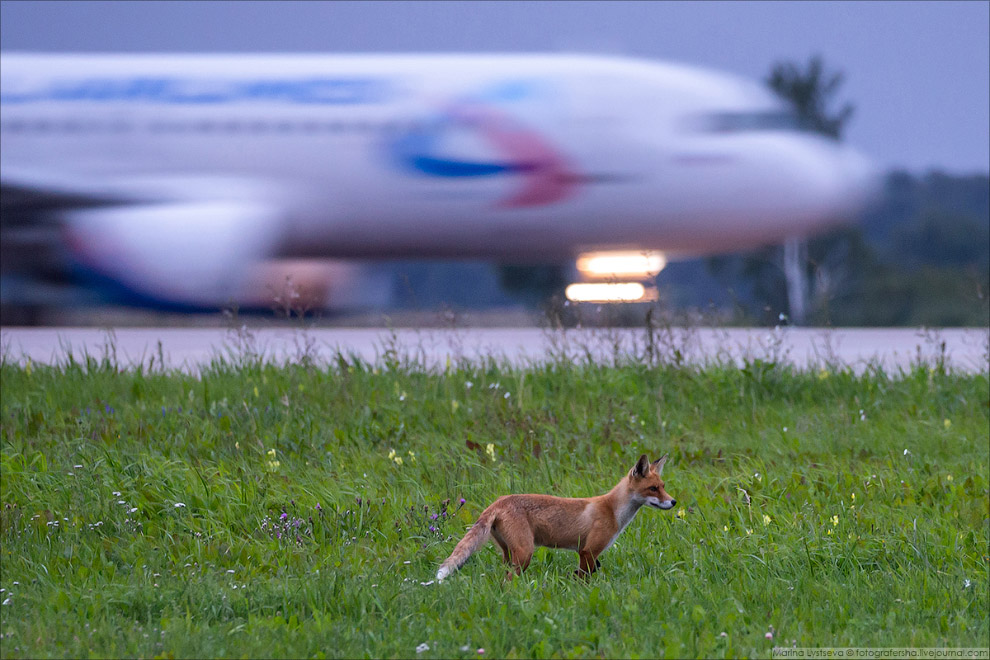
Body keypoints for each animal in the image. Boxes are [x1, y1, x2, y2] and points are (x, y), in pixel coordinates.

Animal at [436, 452, 676, 580]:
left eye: (663, 487)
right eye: (653, 489)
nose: (673, 502)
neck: (613, 510)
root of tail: (498, 501)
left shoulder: (587, 554)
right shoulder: (588, 551)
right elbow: (583, 581)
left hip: (508, 553)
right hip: (524, 552)